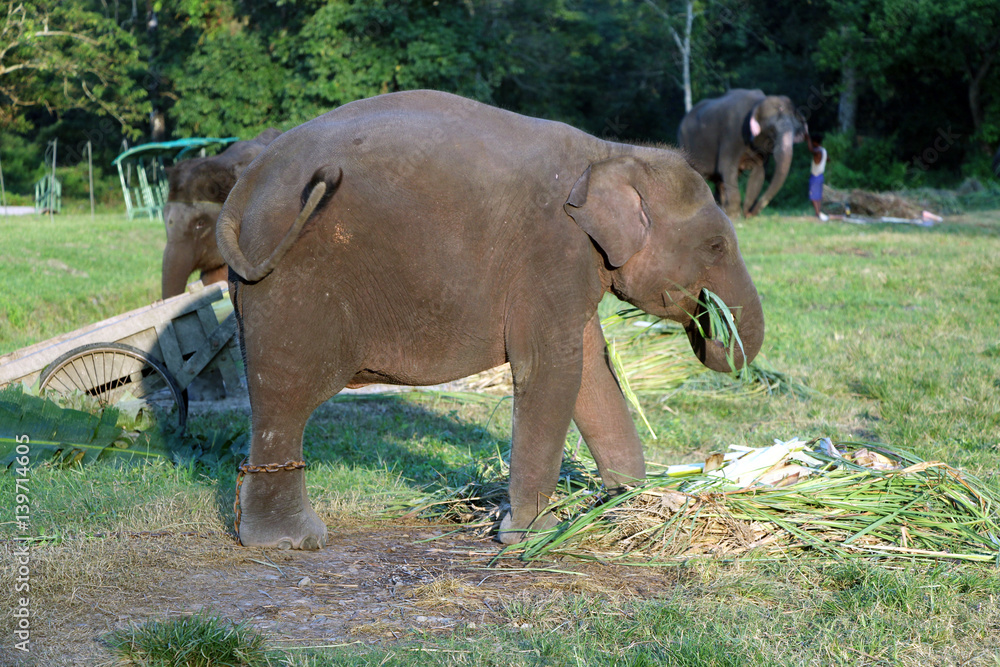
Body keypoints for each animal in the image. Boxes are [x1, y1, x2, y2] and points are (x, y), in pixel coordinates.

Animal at [216, 90, 765, 550]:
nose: (709, 321)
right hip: (294, 284)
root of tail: (244, 185)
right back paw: (291, 542)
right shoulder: (551, 250)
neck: (610, 153)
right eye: (717, 246)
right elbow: (552, 371)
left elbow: (591, 369)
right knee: (287, 393)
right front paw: (531, 537)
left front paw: (633, 507)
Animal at [678, 89, 808, 218]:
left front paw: (746, 214)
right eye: (772, 130)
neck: (758, 102)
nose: (751, 212)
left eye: (796, 129)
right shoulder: (732, 133)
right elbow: (727, 167)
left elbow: (759, 173)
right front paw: (734, 215)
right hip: (686, 141)